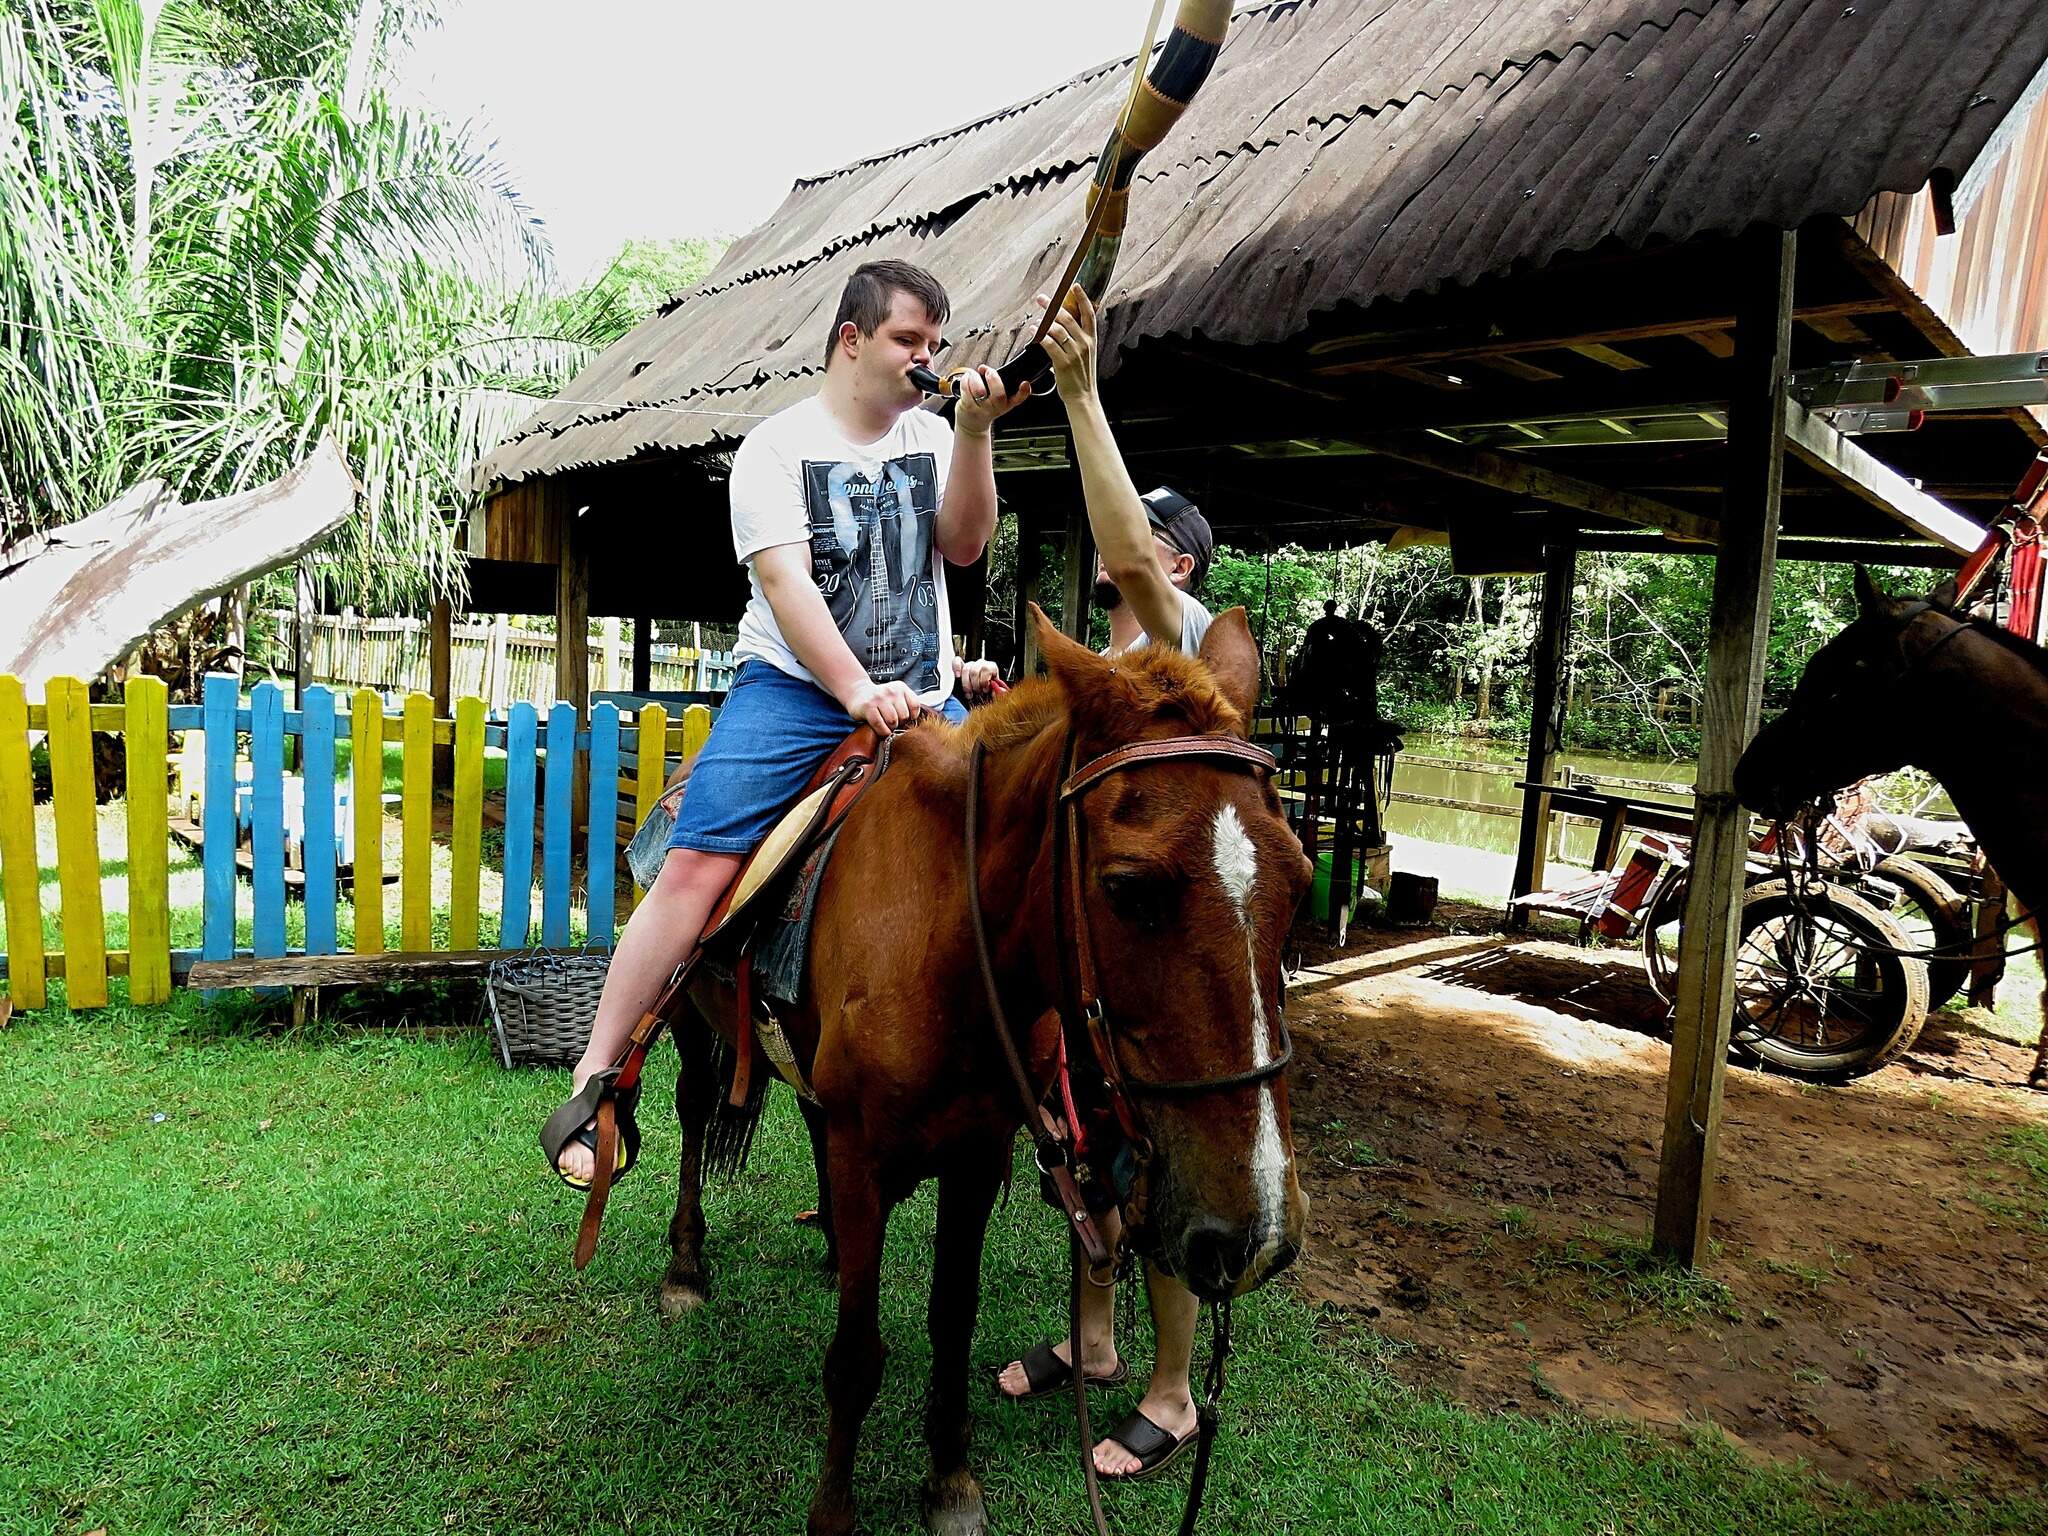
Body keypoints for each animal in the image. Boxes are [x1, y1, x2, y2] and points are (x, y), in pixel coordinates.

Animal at [663, 606, 1318, 1536]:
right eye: (1128, 887)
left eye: (1300, 882)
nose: (1256, 1233)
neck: (948, 940)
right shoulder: (870, 1154)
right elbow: (855, 1355)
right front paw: (835, 1511)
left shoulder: (977, 1155)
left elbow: (952, 1319)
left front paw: (949, 1480)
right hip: (689, 1021)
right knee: (690, 1113)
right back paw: (685, 1265)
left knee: (810, 1118)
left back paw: (830, 1249)